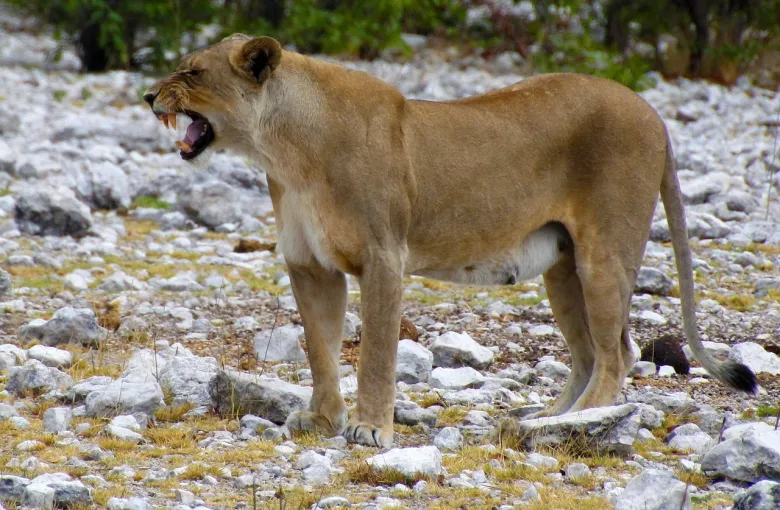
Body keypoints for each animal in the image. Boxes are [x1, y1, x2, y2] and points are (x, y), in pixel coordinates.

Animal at [143, 34, 757, 448]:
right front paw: (321, 419)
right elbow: (321, 349)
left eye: (192, 72)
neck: (284, 151)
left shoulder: (383, 257)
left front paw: (370, 429)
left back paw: (575, 422)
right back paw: (542, 418)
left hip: (605, 254)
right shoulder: (309, 264)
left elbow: (376, 353)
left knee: (615, 354)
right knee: (586, 354)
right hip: (564, 267)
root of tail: (652, 112)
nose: (149, 95)